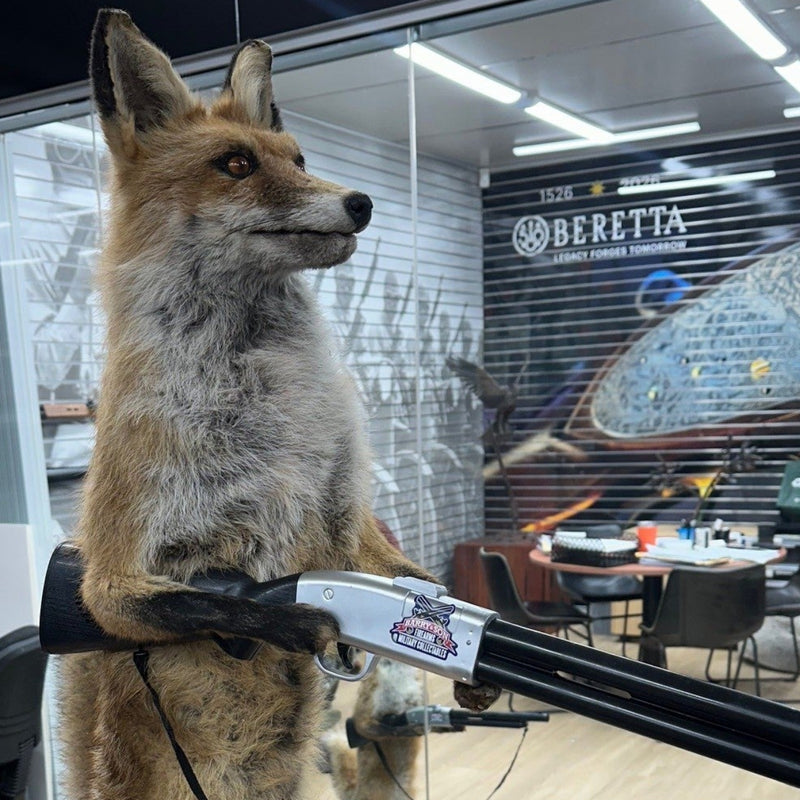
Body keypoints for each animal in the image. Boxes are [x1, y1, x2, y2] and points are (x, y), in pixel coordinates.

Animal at [58, 9, 497, 800]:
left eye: (298, 157)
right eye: (236, 164)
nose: (362, 202)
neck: (265, 399)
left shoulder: (344, 513)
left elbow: (416, 579)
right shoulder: (109, 577)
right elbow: (210, 601)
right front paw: (302, 629)